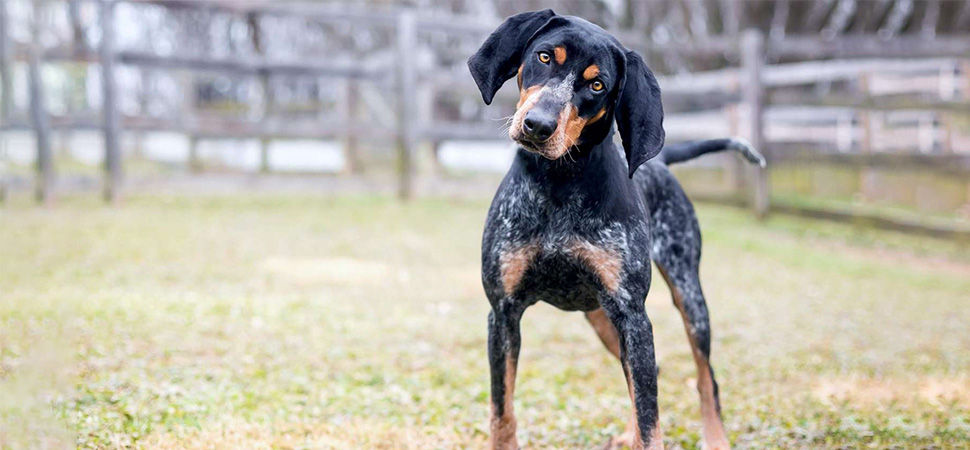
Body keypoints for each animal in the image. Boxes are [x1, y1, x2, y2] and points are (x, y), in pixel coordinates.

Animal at [468, 10, 764, 450]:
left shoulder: (633, 315)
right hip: (602, 318)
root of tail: (662, 162)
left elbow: (650, 420)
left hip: (688, 301)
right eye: (543, 57)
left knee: (702, 378)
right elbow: (501, 413)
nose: (538, 125)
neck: (558, 185)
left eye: (597, 85)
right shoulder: (502, 314)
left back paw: (715, 438)